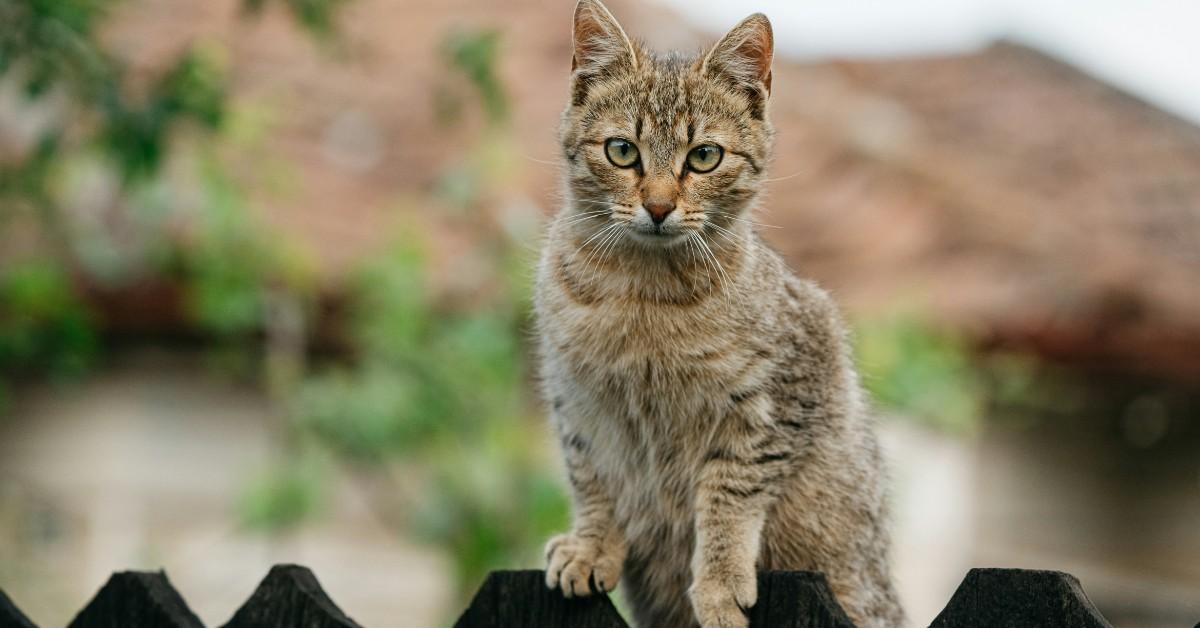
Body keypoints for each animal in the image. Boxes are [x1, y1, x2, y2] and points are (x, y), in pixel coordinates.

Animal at [530, 2, 902, 624]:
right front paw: (590, 546)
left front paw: (720, 581)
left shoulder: (776, 403)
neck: (644, 296)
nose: (658, 206)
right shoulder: (578, 402)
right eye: (621, 151)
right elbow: (593, 480)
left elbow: (730, 496)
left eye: (704, 157)